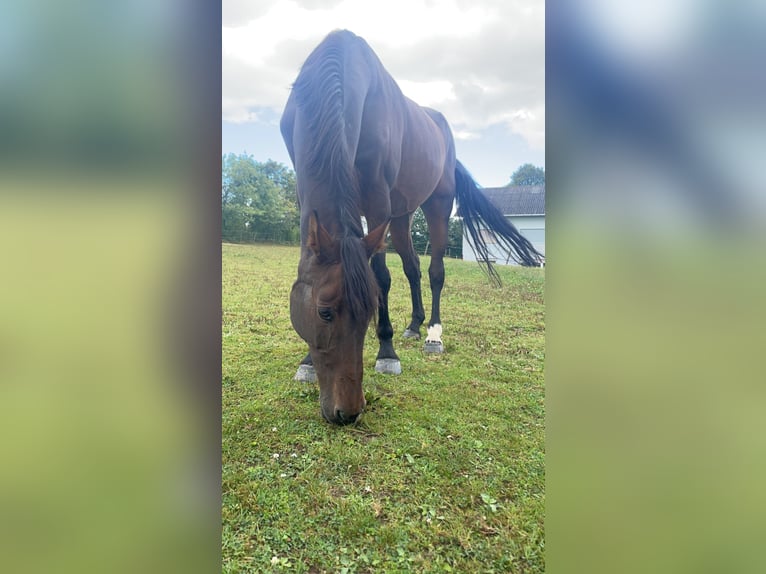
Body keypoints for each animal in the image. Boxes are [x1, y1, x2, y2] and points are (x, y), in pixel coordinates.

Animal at [280, 30, 544, 428]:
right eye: (324, 312)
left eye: (369, 313)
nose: (348, 412)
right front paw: (308, 361)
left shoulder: (377, 200)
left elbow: (382, 276)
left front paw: (386, 351)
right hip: (401, 216)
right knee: (413, 267)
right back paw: (414, 324)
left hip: (436, 205)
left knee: (434, 271)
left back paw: (432, 333)